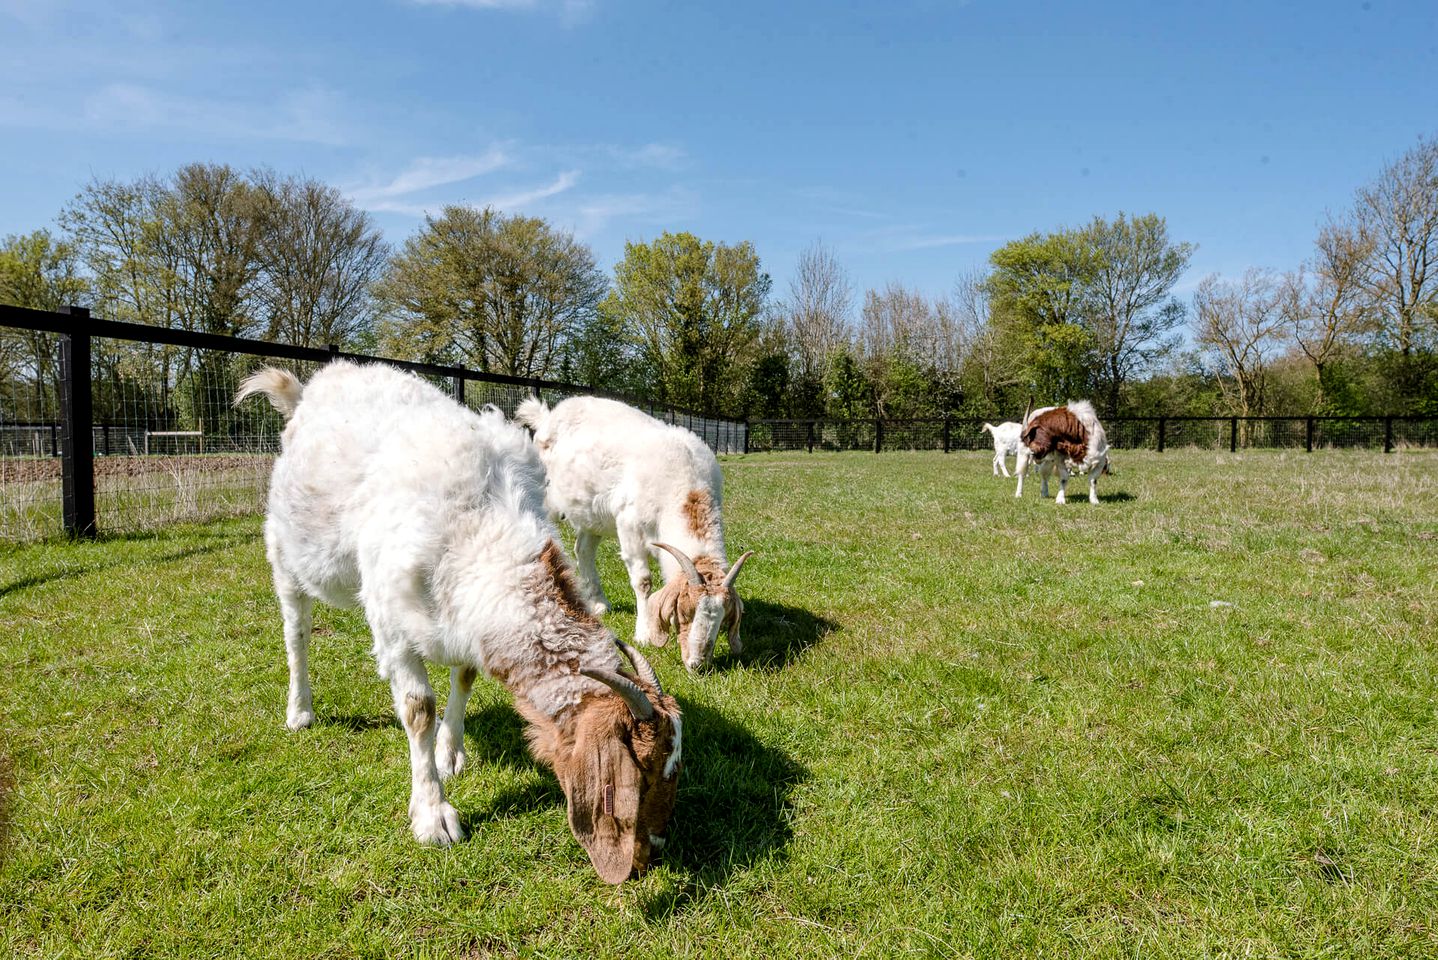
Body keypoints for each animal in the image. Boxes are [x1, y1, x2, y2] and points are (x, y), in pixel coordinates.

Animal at [237, 362, 684, 885]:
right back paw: (300, 710)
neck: (482, 526)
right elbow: (418, 709)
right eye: (645, 772)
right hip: (286, 555)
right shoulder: (393, 624)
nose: (658, 845)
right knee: (297, 635)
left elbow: (465, 677)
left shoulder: (462, 622)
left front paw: (449, 754)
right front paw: (433, 817)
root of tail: (312, 389)